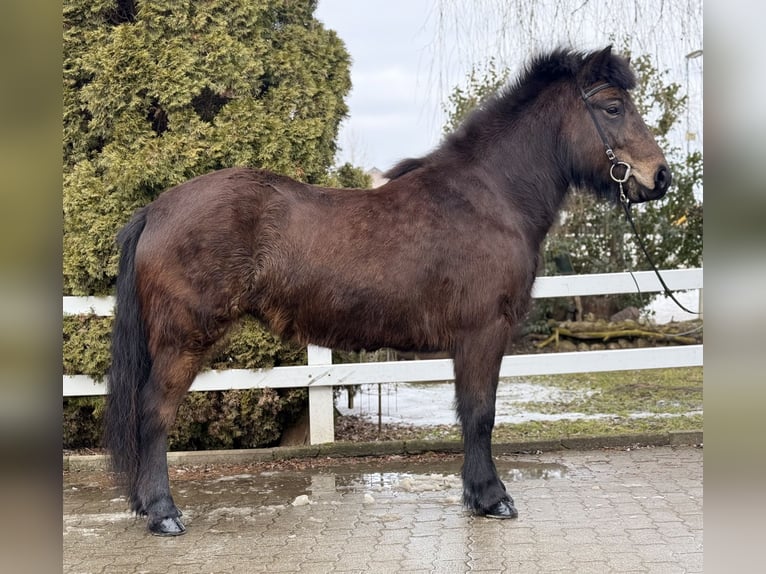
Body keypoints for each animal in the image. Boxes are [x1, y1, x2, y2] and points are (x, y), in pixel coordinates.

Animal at [104, 46, 671, 535]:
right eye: (614, 107)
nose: (660, 177)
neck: (489, 197)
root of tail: (157, 209)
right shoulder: (484, 332)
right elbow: (480, 414)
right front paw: (492, 498)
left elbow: (469, 413)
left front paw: (476, 496)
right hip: (184, 338)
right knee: (153, 412)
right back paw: (163, 513)